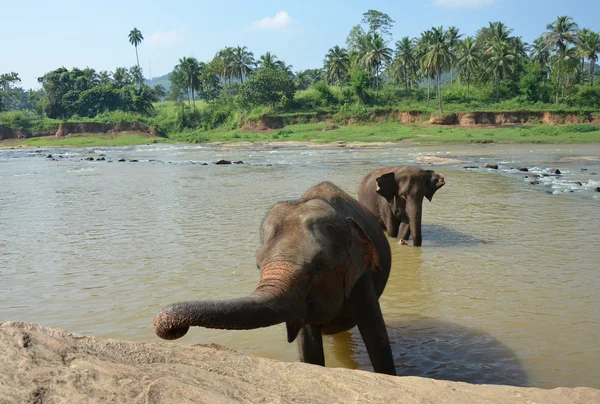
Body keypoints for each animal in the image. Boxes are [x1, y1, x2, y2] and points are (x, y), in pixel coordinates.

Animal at [154, 182, 398, 376]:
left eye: (320, 266)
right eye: (258, 264)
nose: (174, 329)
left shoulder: (362, 277)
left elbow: (377, 339)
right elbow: (308, 346)